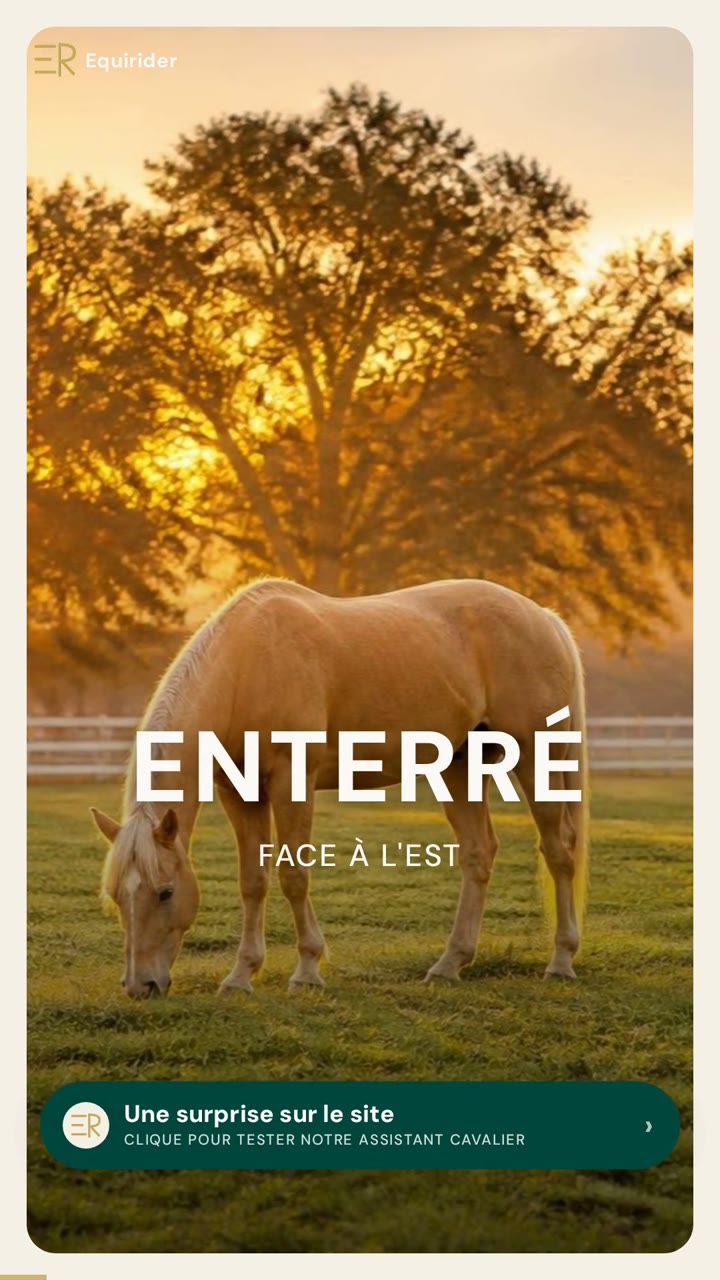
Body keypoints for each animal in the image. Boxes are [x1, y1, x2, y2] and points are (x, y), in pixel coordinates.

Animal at [90, 577, 588, 998]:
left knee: (558, 850)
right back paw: (450, 964)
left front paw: (307, 971)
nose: (140, 986)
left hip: (536, 758)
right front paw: (241, 975)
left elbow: (293, 876)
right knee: (478, 854)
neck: (247, 665)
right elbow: (253, 881)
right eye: (116, 896)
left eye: (166, 892)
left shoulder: (293, 781)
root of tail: (544, 617)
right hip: (460, 766)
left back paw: (561, 961)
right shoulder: (241, 792)